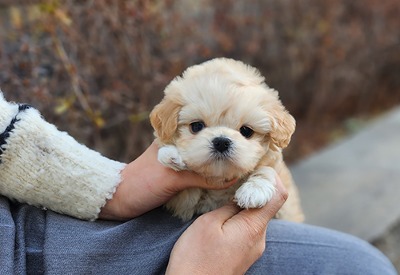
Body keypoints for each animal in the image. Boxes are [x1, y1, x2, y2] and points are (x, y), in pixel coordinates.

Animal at [150, 58, 304, 222]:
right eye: (196, 126)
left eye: (246, 131)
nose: (221, 142)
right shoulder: (182, 203)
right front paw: (171, 155)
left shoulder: (285, 203)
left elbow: (268, 169)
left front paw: (253, 190)